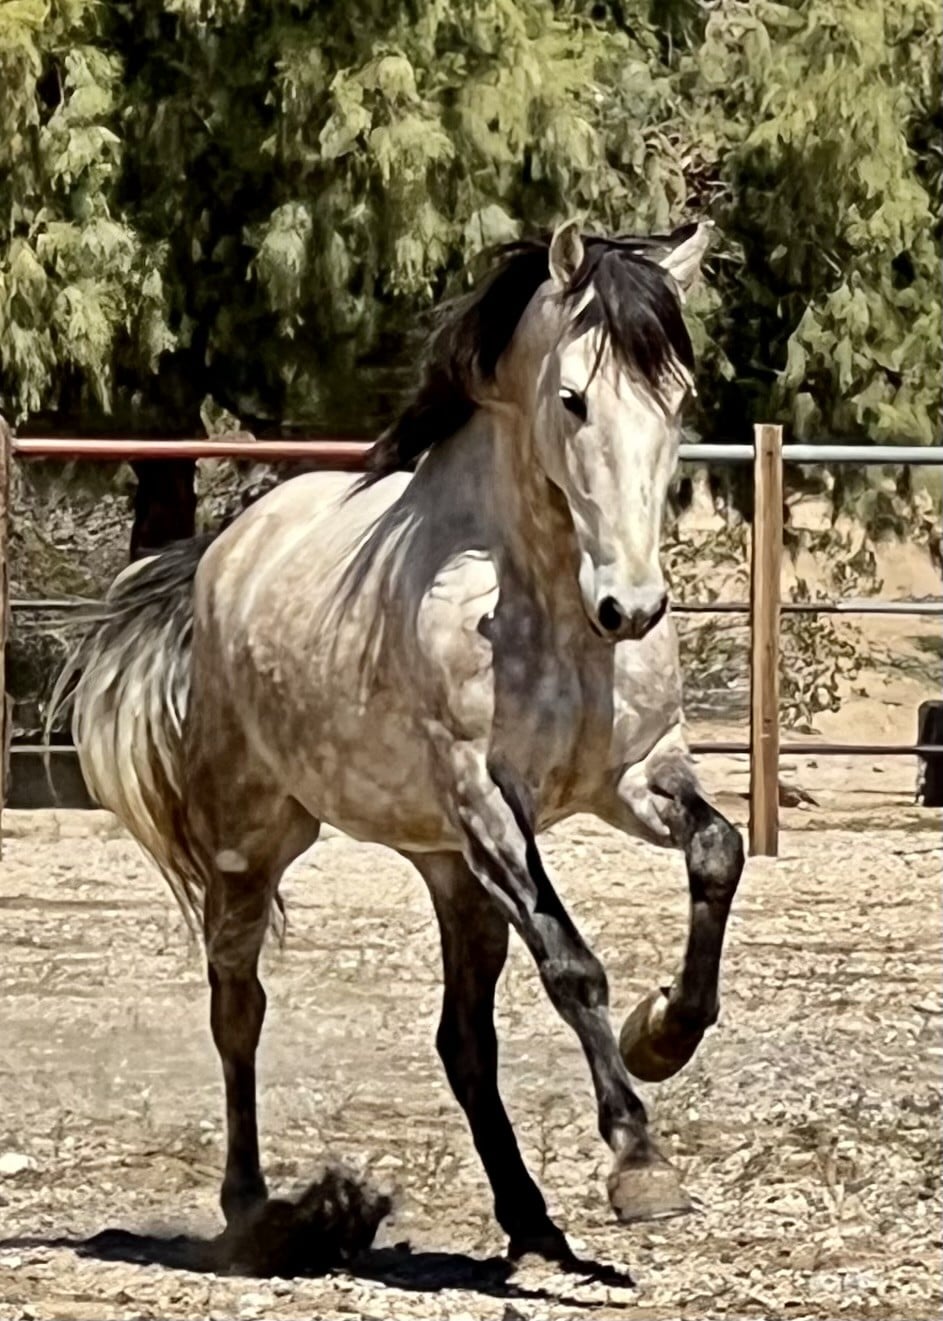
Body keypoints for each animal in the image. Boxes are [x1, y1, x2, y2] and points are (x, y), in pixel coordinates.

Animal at [54, 219, 743, 1267]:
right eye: (573, 399)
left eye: (676, 399)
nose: (630, 606)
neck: (542, 601)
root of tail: (222, 551)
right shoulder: (487, 802)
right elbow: (572, 965)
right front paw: (639, 1162)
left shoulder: (634, 776)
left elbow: (718, 850)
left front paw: (662, 1032)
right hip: (254, 844)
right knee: (237, 1009)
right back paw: (254, 1212)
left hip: (452, 873)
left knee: (462, 1041)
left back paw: (530, 1222)